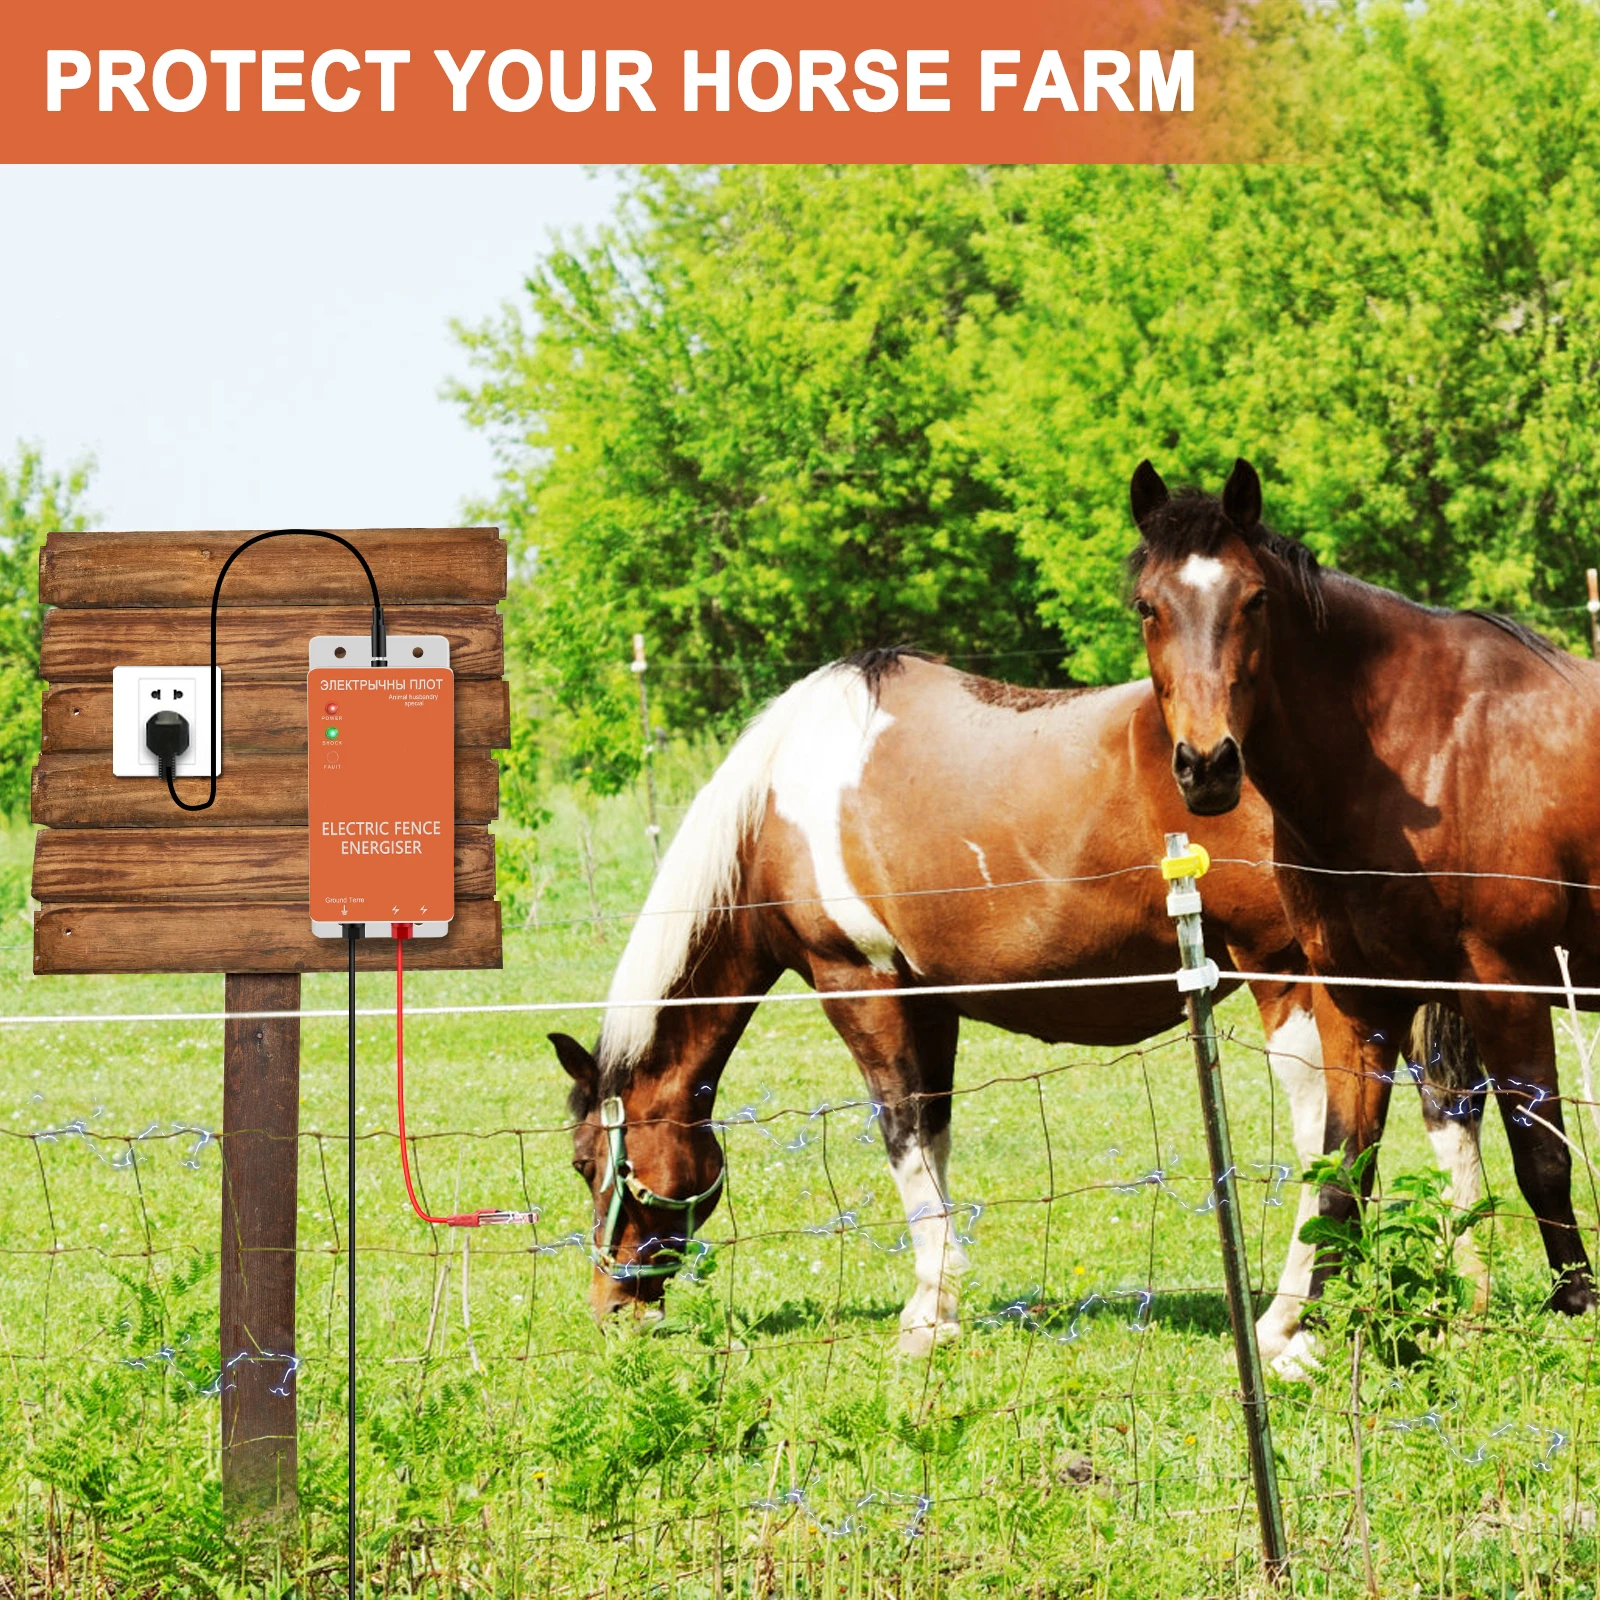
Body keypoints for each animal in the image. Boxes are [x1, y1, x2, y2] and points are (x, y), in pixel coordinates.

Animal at [553, 656, 1484, 1356]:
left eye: (586, 1162)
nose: (612, 1308)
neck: (780, 804)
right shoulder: (930, 1001)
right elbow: (932, 1137)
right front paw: (942, 1302)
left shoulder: (860, 984)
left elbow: (902, 1141)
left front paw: (925, 1321)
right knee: (1447, 1111)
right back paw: (1464, 1303)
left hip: (1292, 977)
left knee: (1332, 1132)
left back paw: (1288, 1321)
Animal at [1126, 457, 1600, 1369]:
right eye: (1147, 605)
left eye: (1254, 600)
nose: (1208, 766)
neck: (1421, 748)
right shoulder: (1356, 999)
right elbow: (1344, 1172)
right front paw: (1317, 1330)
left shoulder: (1506, 985)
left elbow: (1542, 1156)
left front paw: (1575, 1310)